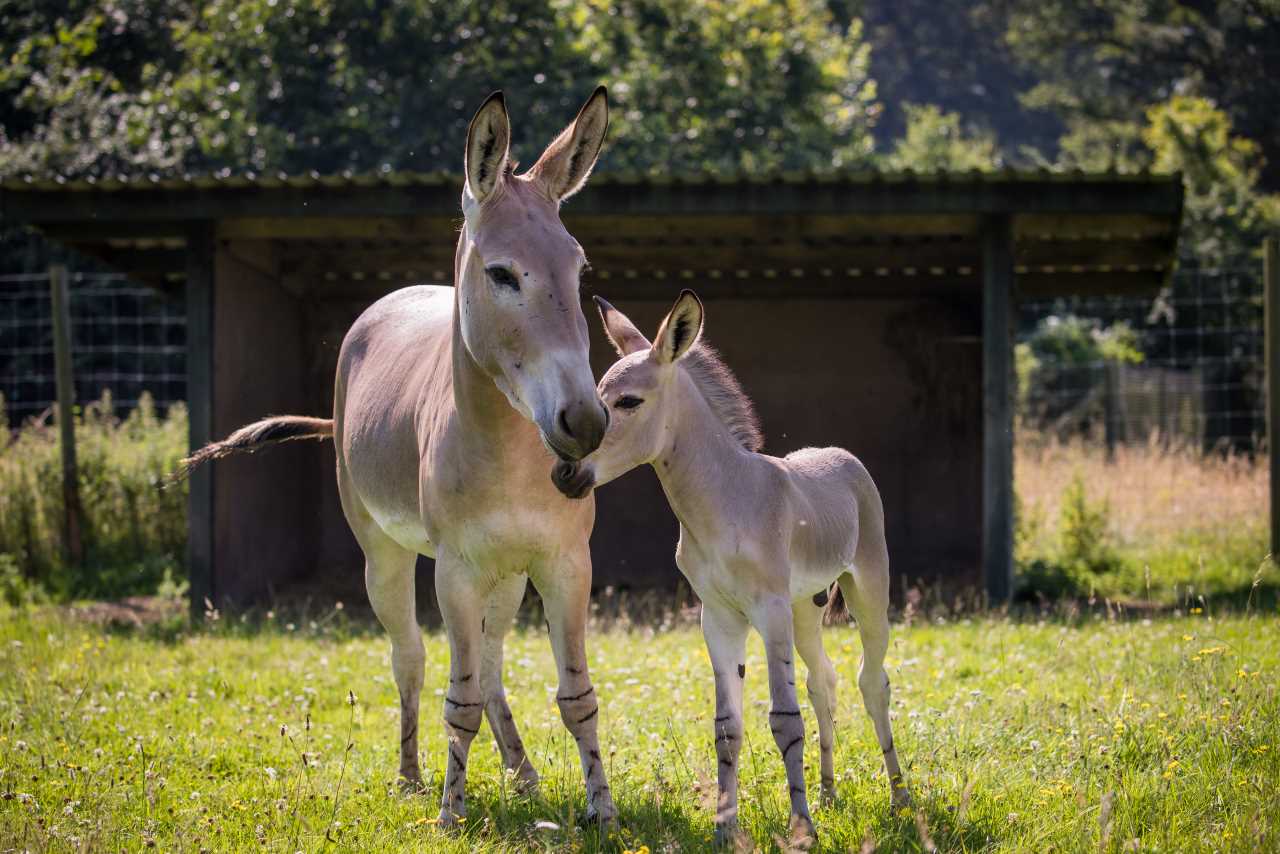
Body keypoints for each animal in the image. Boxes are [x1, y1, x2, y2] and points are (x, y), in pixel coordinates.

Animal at [558, 291, 911, 839]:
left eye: (628, 402)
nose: (564, 473)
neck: (725, 502)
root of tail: (839, 454)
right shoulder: (719, 618)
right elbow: (728, 727)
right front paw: (727, 828)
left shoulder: (768, 611)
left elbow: (784, 719)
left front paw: (801, 829)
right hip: (805, 609)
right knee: (824, 682)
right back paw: (829, 793)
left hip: (867, 591)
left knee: (872, 682)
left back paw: (900, 800)